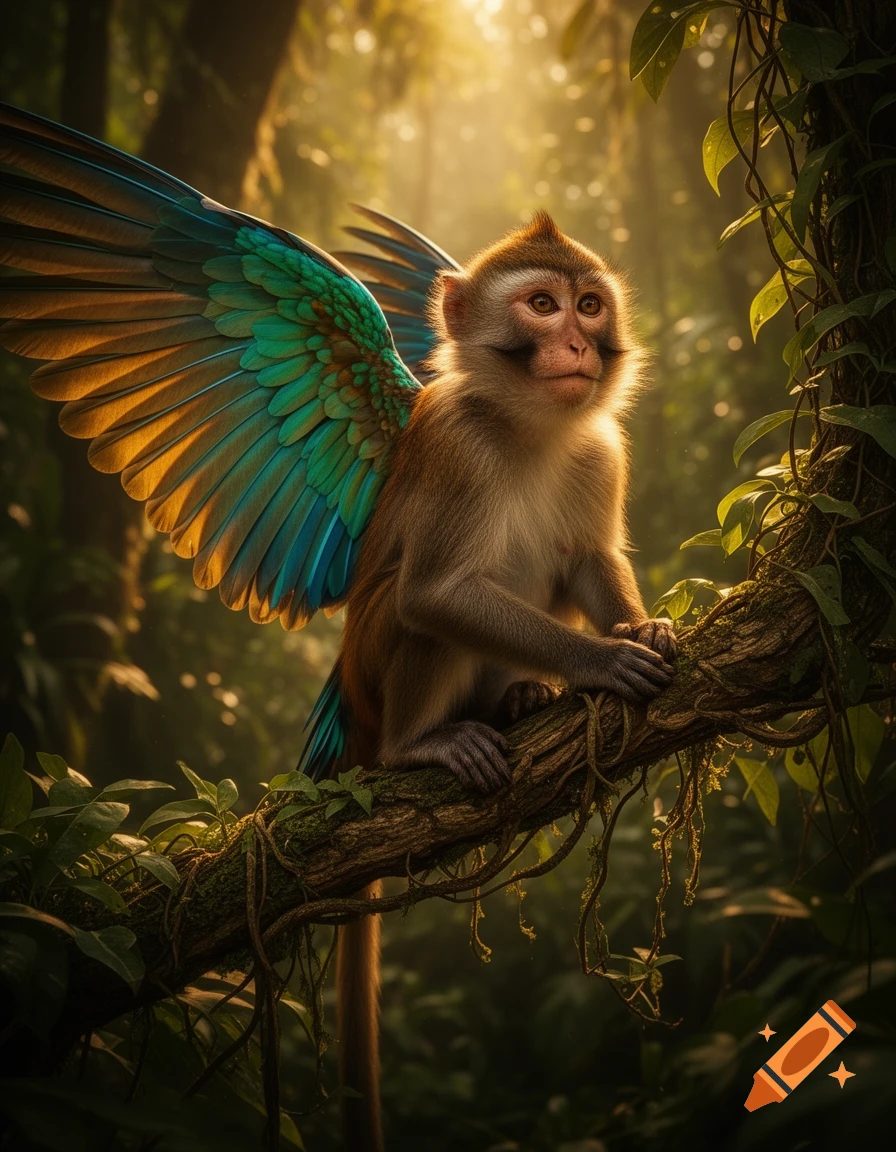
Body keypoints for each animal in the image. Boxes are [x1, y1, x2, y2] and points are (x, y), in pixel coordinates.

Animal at [331, 211, 676, 1152]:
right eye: (542, 305)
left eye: (590, 305)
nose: (577, 342)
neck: (532, 430)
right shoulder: (455, 443)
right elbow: (435, 594)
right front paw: (602, 661)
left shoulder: (601, 448)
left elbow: (590, 558)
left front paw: (639, 627)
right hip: (374, 675)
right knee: (415, 613)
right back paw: (419, 746)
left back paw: (518, 698)